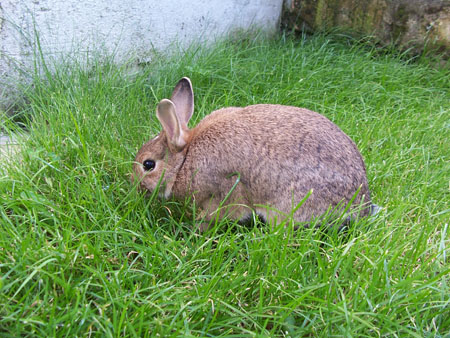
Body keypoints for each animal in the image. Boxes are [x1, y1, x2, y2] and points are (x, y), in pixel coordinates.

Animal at [134, 76, 376, 230]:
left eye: (148, 165)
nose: (136, 186)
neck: (185, 158)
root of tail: (361, 206)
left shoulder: (225, 191)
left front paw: (195, 227)